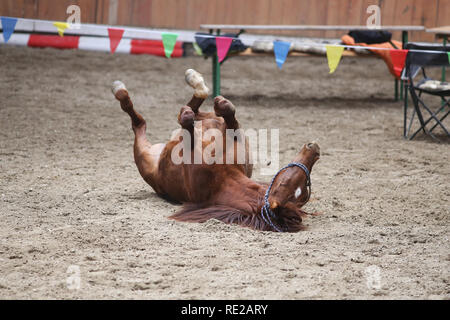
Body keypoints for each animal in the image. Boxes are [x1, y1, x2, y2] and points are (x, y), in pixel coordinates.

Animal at [112, 69, 320, 231]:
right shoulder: (235, 136)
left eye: (300, 185)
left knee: (140, 122)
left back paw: (121, 89)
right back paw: (195, 82)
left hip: (143, 156)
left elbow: (188, 122)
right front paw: (220, 103)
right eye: (288, 181)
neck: (223, 175)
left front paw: (188, 116)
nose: (315, 149)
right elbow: (228, 115)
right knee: (200, 110)